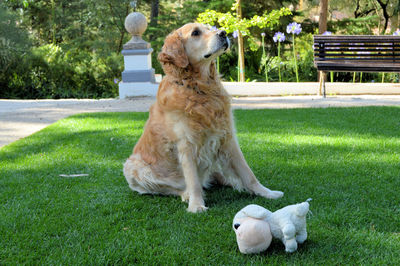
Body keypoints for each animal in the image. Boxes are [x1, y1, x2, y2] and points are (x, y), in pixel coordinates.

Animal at [123, 23, 282, 213]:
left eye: (210, 28)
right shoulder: (186, 144)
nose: (223, 33)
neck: (199, 88)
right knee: (171, 188)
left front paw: (266, 192)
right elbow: (193, 181)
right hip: (133, 167)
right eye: (196, 33)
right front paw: (196, 205)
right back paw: (186, 195)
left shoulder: (227, 138)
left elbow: (247, 172)